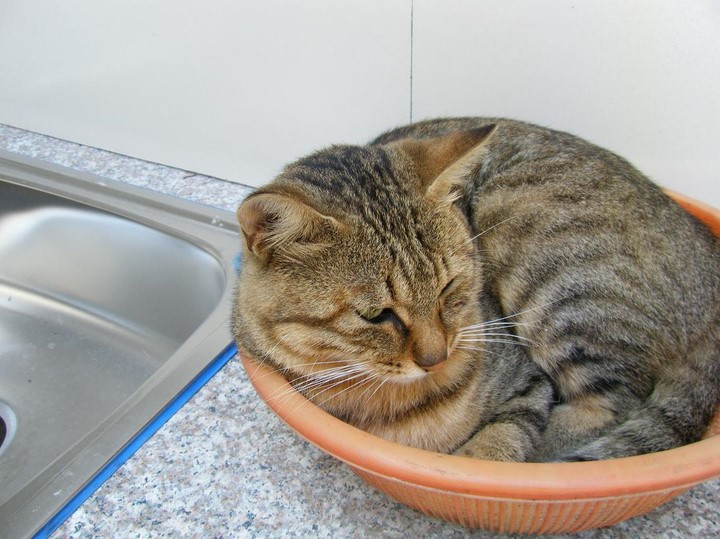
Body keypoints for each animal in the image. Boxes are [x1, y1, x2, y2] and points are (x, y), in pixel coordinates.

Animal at [232, 117, 720, 462]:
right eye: (375, 315)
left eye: (449, 286)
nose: (435, 358)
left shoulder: (528, 381)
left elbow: (501, 437)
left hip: (544, 257)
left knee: (612, 404)